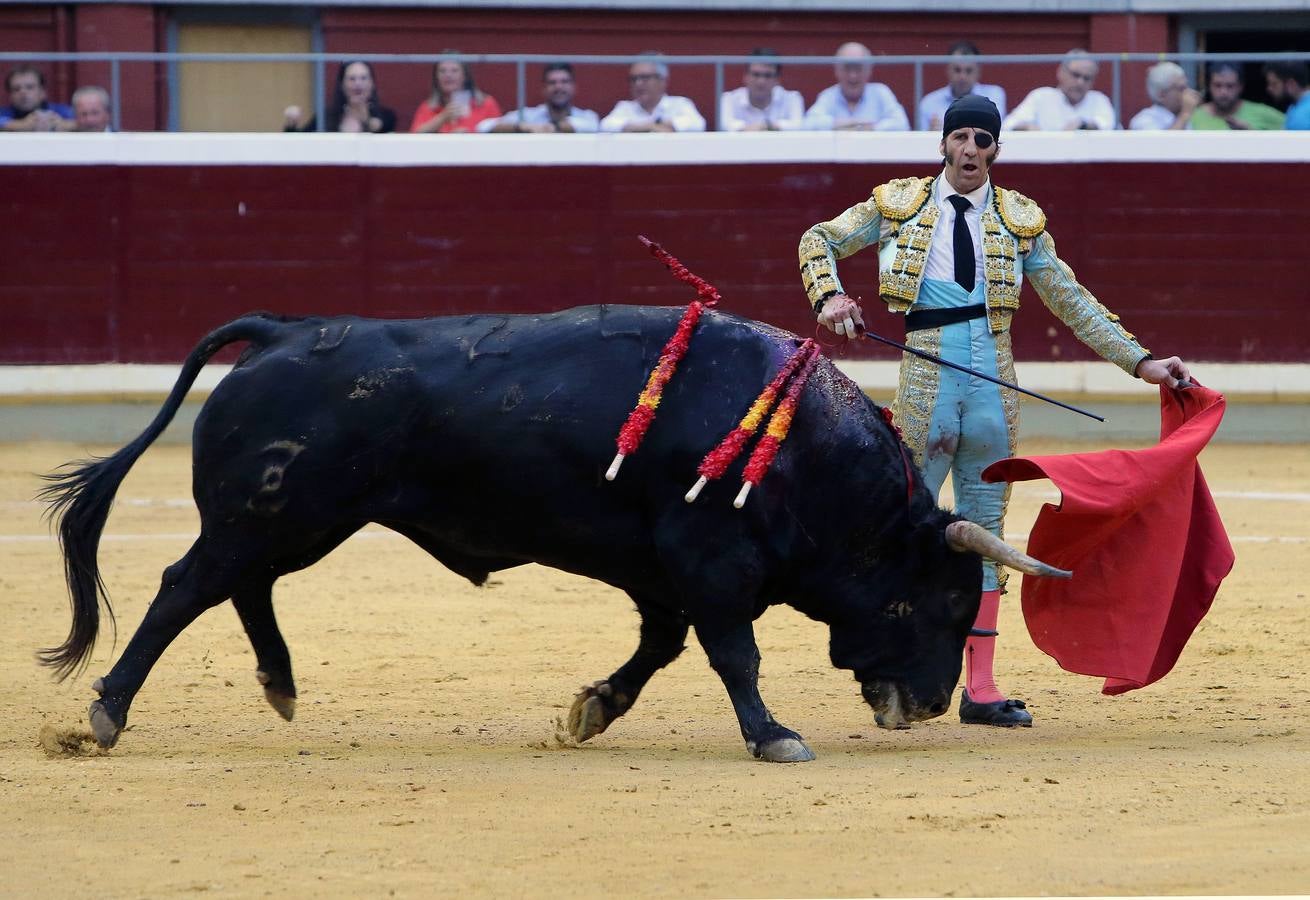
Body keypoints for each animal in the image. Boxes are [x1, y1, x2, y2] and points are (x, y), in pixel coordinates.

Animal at [43, 303, 1063, 759]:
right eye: (944, 602)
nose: (929, 702)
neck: (806, 455)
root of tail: (283, 334)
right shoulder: (710, 562)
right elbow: (734, 653)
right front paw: (774, 735)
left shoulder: (662, 571)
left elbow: (661, 648)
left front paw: (592, 709)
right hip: (271, 513)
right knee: (186, 587)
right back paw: (108, 713)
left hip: (293, 519)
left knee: (242, 586)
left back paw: (281, 685)